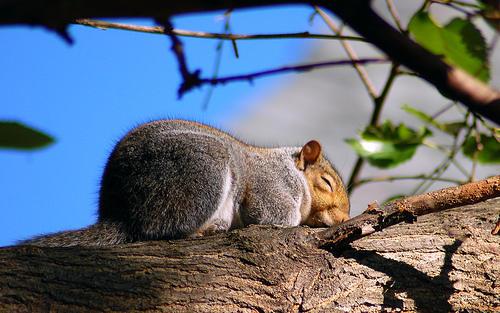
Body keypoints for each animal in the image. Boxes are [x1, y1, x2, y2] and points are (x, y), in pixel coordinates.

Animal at [21, 118, 350, 245]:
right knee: (161, 228)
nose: (343, 219)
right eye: (326, 182)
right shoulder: (272, 187)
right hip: (200, 175)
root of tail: (121, 214)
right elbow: (274, 216)